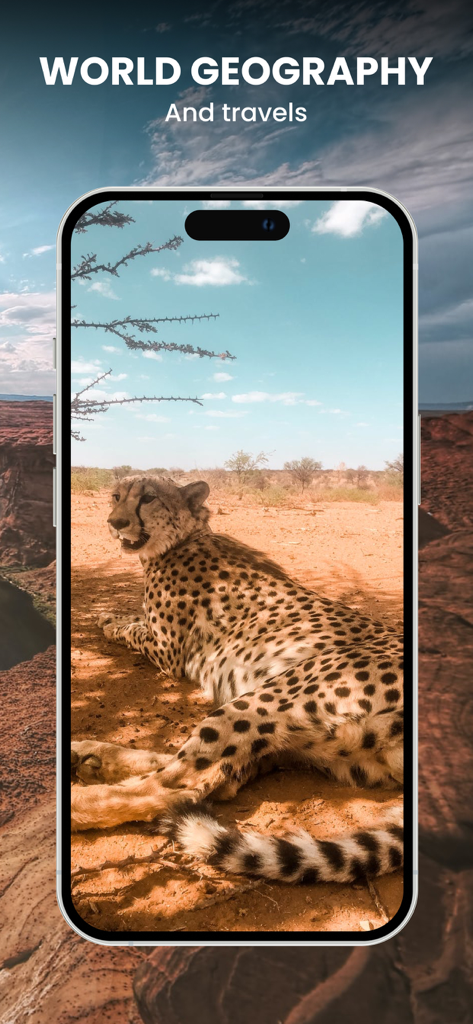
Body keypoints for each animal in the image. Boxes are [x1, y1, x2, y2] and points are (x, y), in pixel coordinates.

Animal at [71, 474, 404, 886]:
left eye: (148, 498)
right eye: (116, 496)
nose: (115, 522)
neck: (187, 535)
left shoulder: (167, 653)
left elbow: (131, 628)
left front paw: (108, 621)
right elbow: (131, 617)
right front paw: (107, 615)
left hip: (267, 702)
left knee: (178, 787)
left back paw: (73, 801)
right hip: (307, 743)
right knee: (218, 777)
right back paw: (90, 755)